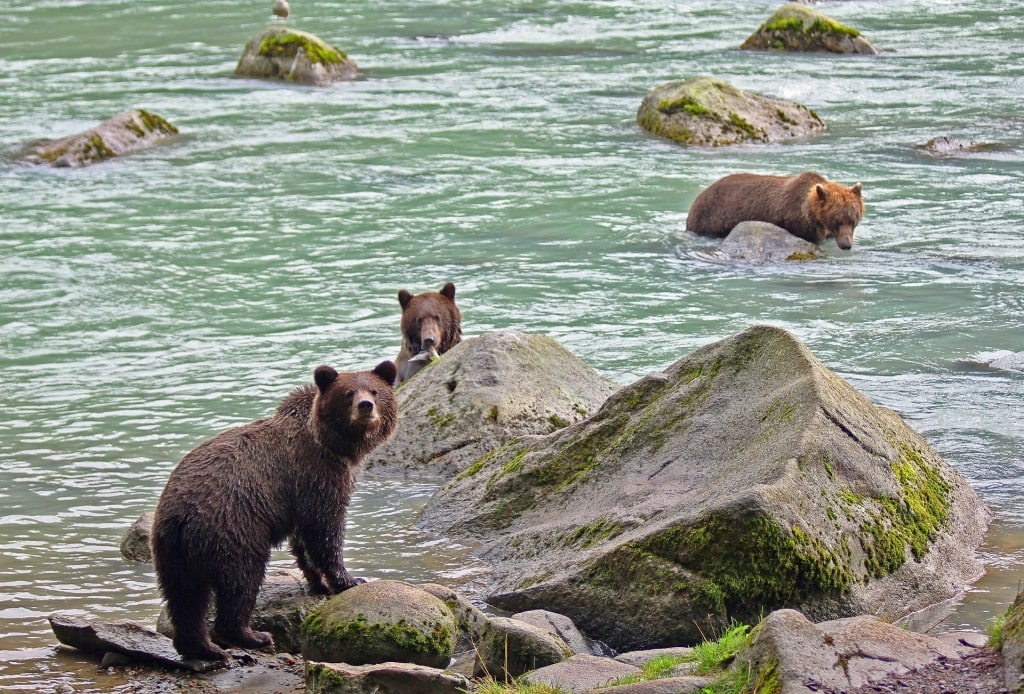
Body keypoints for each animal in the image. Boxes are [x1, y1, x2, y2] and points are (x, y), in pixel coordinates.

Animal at [151, 362, 399, 659]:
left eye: (375, 391)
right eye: (348, 393)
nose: (365, 406)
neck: (332, 443)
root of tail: (180, 516)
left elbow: (303, 540)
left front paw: (318, 583)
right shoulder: (315, 474)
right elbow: (325, 528)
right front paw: (349, 579)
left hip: (173, 552)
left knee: (185, 598)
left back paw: (203, 648)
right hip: (233, 528)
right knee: (241, 581)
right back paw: (252, 635)